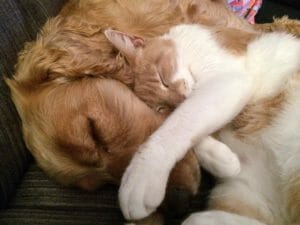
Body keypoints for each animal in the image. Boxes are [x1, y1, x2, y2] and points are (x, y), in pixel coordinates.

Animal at [104, 23, 298, 225]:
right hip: (241, 194)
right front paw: (222, 159)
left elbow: (181, 122)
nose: (181, 100)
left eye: (162, 79)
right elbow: (185, 125)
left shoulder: (229, 80)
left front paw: (142, 175)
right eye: (162, 108)